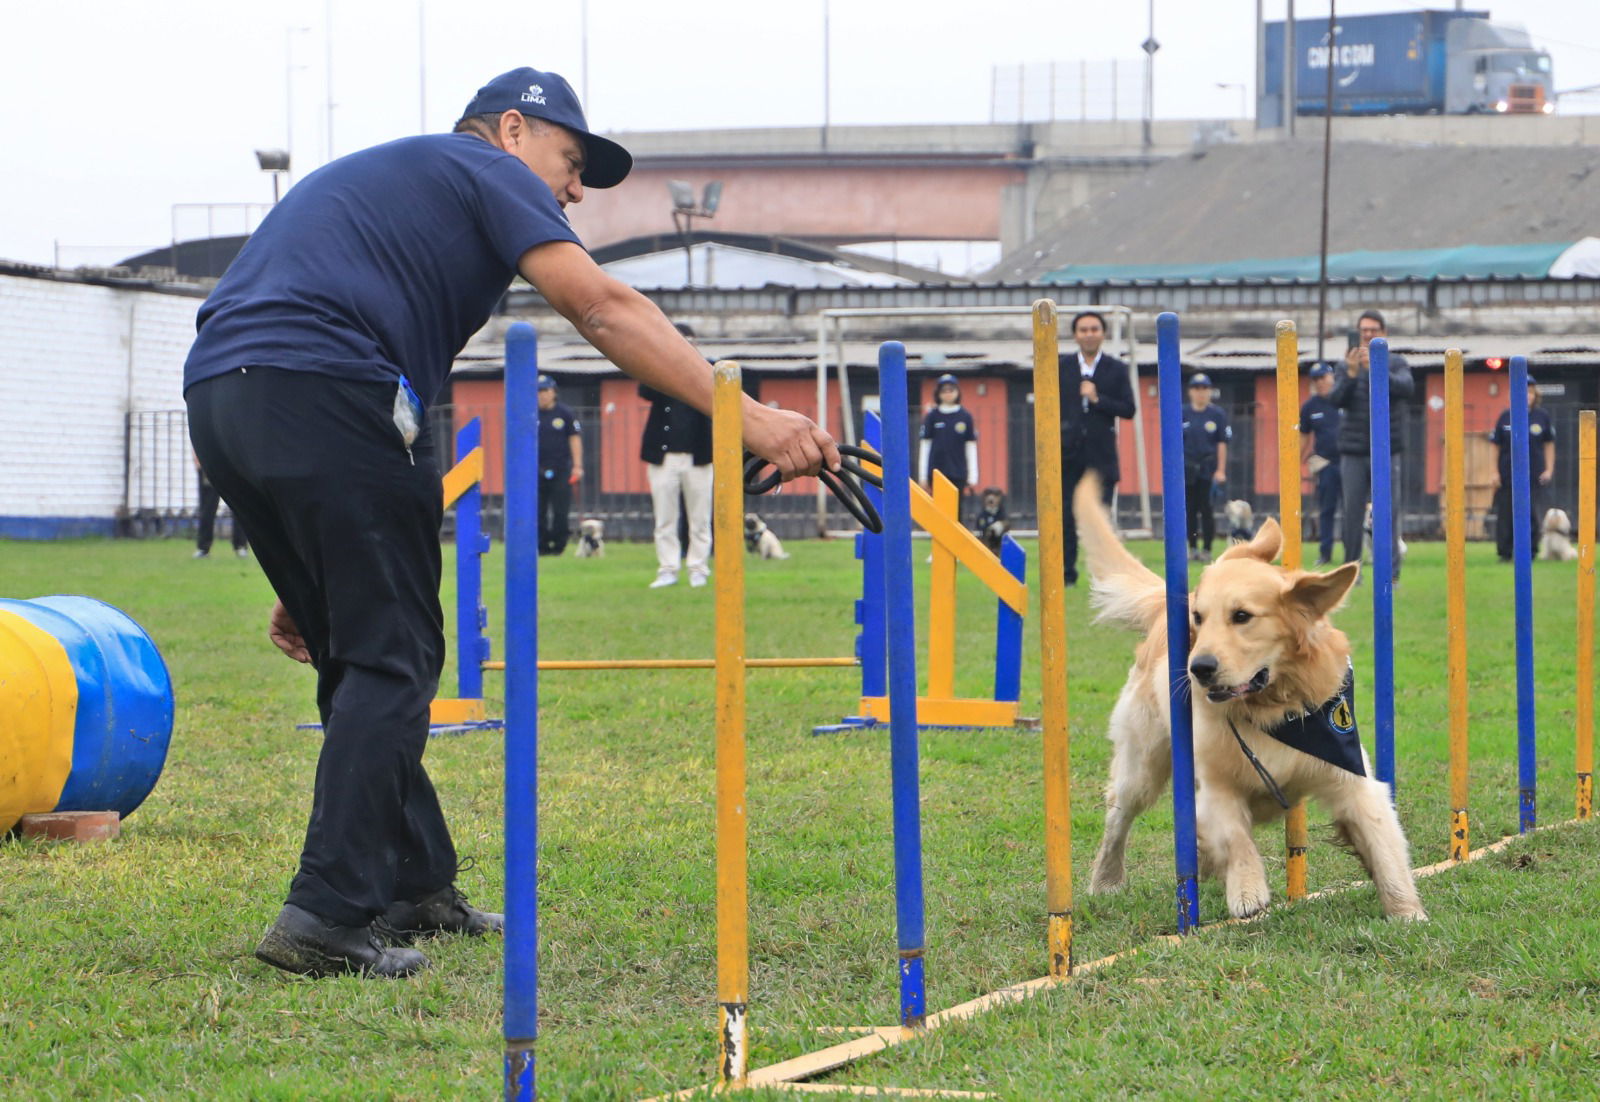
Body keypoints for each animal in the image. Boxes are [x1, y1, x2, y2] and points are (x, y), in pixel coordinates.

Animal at [1075, 473, 1427, 921]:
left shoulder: (1353, 777)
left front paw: (1407, 912)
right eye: (1198, 618)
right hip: (1143, 765)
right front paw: (1247, 890)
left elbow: (1385, 845)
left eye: (1242, 616)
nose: (1198, 667)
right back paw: (1106, 880)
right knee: (1117, 820)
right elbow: (1234, 835)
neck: (1274, 709)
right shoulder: (1216, 786)